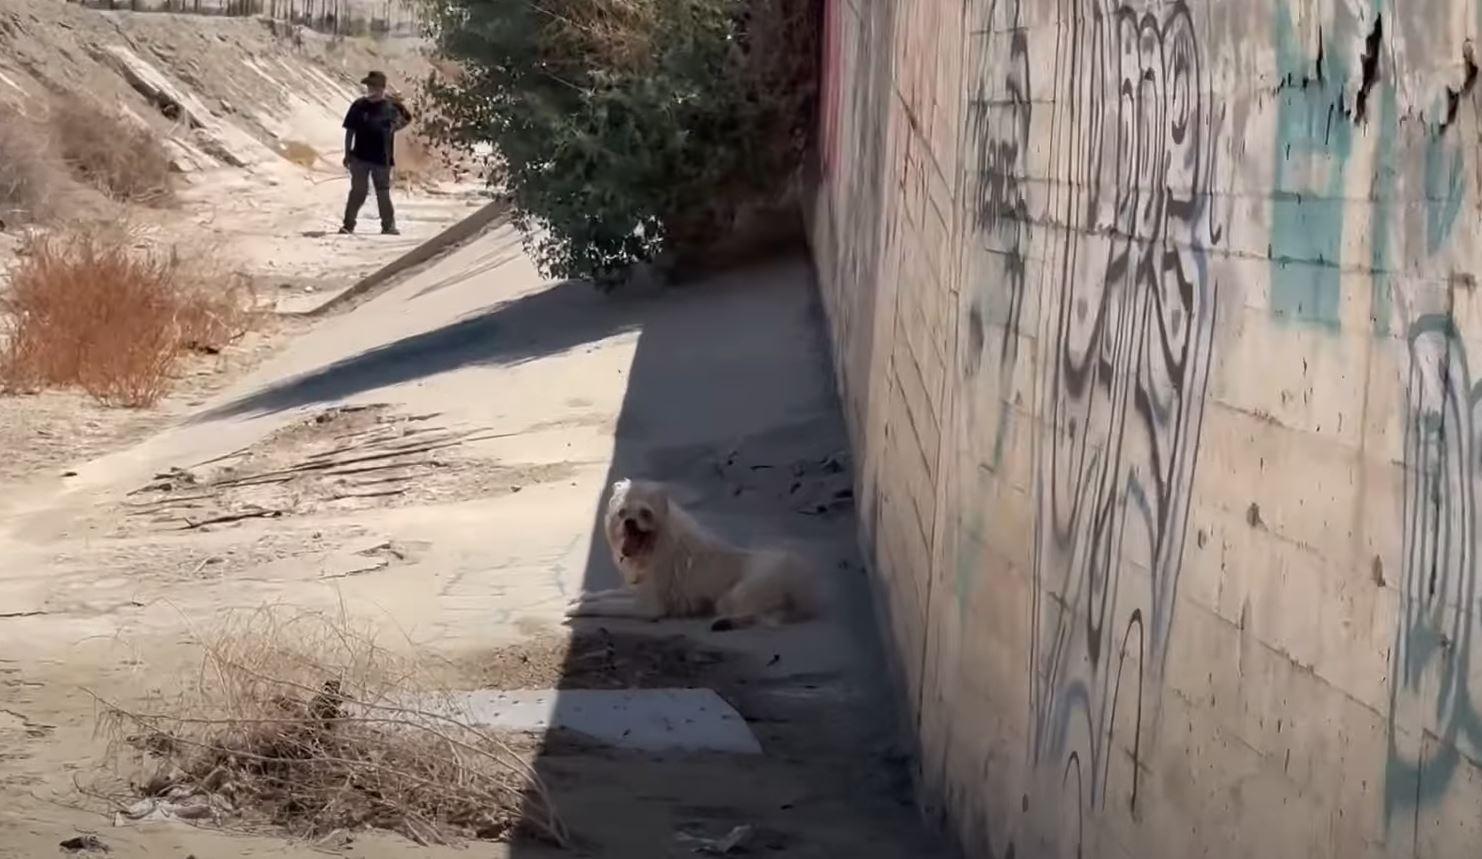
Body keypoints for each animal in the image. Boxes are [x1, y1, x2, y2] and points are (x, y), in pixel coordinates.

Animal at [566, 476, 823, 630]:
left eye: (645, 514)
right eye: (622, 513)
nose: (629, 522)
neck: (655, 544)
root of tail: (804, 588)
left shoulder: (648, 607)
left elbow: (608, 605)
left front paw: (579, 609)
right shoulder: (638, 589)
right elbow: (608, 594)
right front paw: (583, 597)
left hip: (738, 593)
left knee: (761, 615)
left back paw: (726, 622)